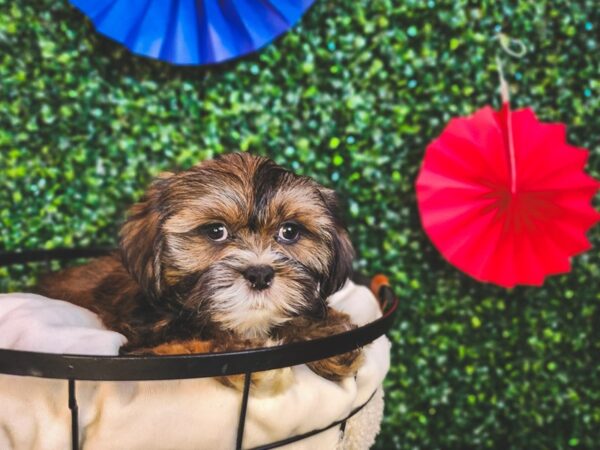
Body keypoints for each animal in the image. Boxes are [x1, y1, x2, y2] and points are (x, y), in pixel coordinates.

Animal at [39, 154, 364, 384]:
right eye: (216, 231)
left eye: (290, 231)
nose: (260, 274)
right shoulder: (145, 348)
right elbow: (195, 345)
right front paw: (246, 355)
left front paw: (326, 337)